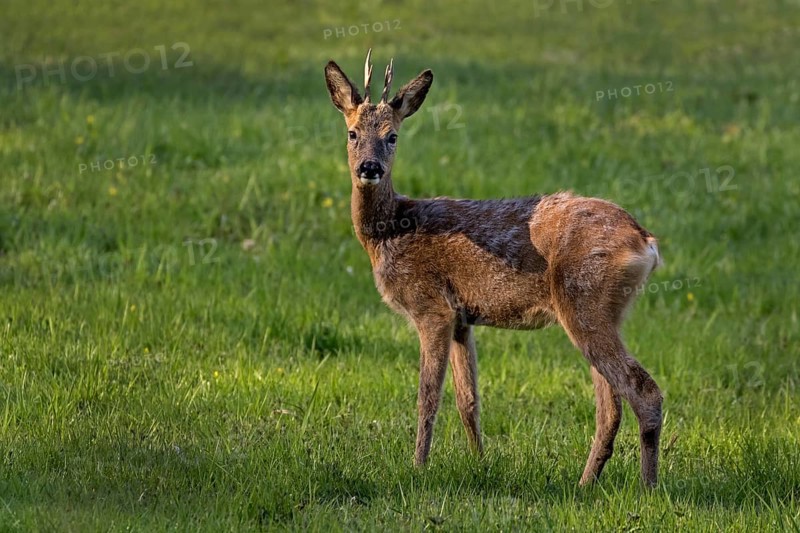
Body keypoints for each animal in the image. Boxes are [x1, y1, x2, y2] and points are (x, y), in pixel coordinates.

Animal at [324, 50, 664, 487]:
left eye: (392, 136)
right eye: (352, 133)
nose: (369, 167)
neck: (392, 230)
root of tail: (645, 241)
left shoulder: (430, 306)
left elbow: (427, 397)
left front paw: (417, 467)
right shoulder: (461, 318)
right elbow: (468, 399)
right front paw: (480, 462)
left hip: (584, 300)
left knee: (643, 391)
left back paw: (647, 487)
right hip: (603, 312)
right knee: (611, 406)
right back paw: (585, 483)